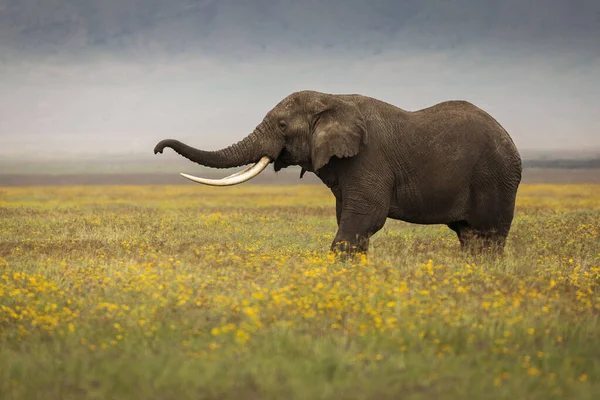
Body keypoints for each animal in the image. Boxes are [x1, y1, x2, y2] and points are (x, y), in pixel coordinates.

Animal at [154, 89, 520, 255]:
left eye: (282, 125)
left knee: (487, 235)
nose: (158, 149)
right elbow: (347, 217)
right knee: (469, 236)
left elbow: (364, 218)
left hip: (495, 177)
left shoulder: (369, 159)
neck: (330, 98)